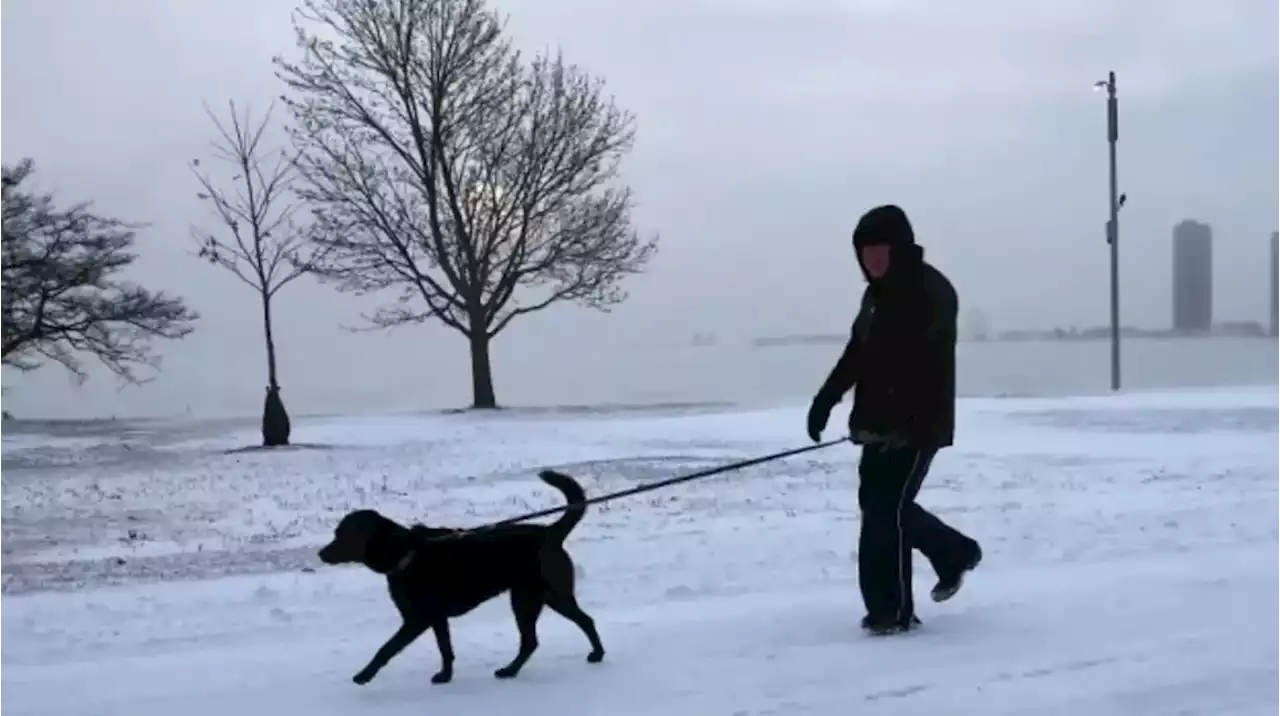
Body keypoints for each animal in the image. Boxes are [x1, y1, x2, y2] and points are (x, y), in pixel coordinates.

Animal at [314, 471, 604, 681]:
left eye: (341, 534)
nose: (320, 553)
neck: (404, 552)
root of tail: (550, 532)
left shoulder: (417, 618)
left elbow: (387, 647)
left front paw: (364, 675)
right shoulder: (437, 618)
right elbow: (446, 649)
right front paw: (446, 675)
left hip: (535, 597)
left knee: (545, 635)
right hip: (542, 597)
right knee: (562, 629)